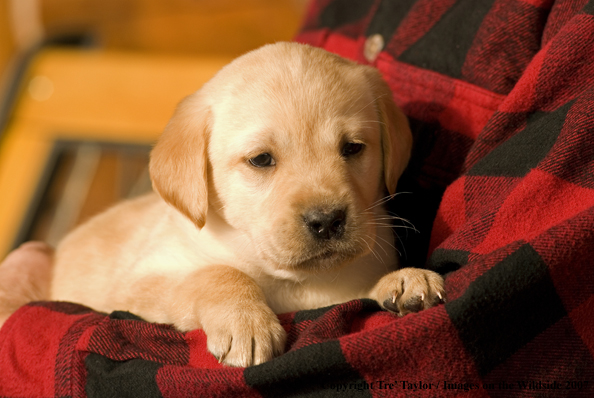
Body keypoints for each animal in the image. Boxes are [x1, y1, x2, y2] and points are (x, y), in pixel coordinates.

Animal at [49, 42, 440, 366]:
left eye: (353, 148)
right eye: (261, 159)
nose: (327, 220)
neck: (292, 282)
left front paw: (404, 279)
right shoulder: (139, 285)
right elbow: (217, 272)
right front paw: (246, 322)